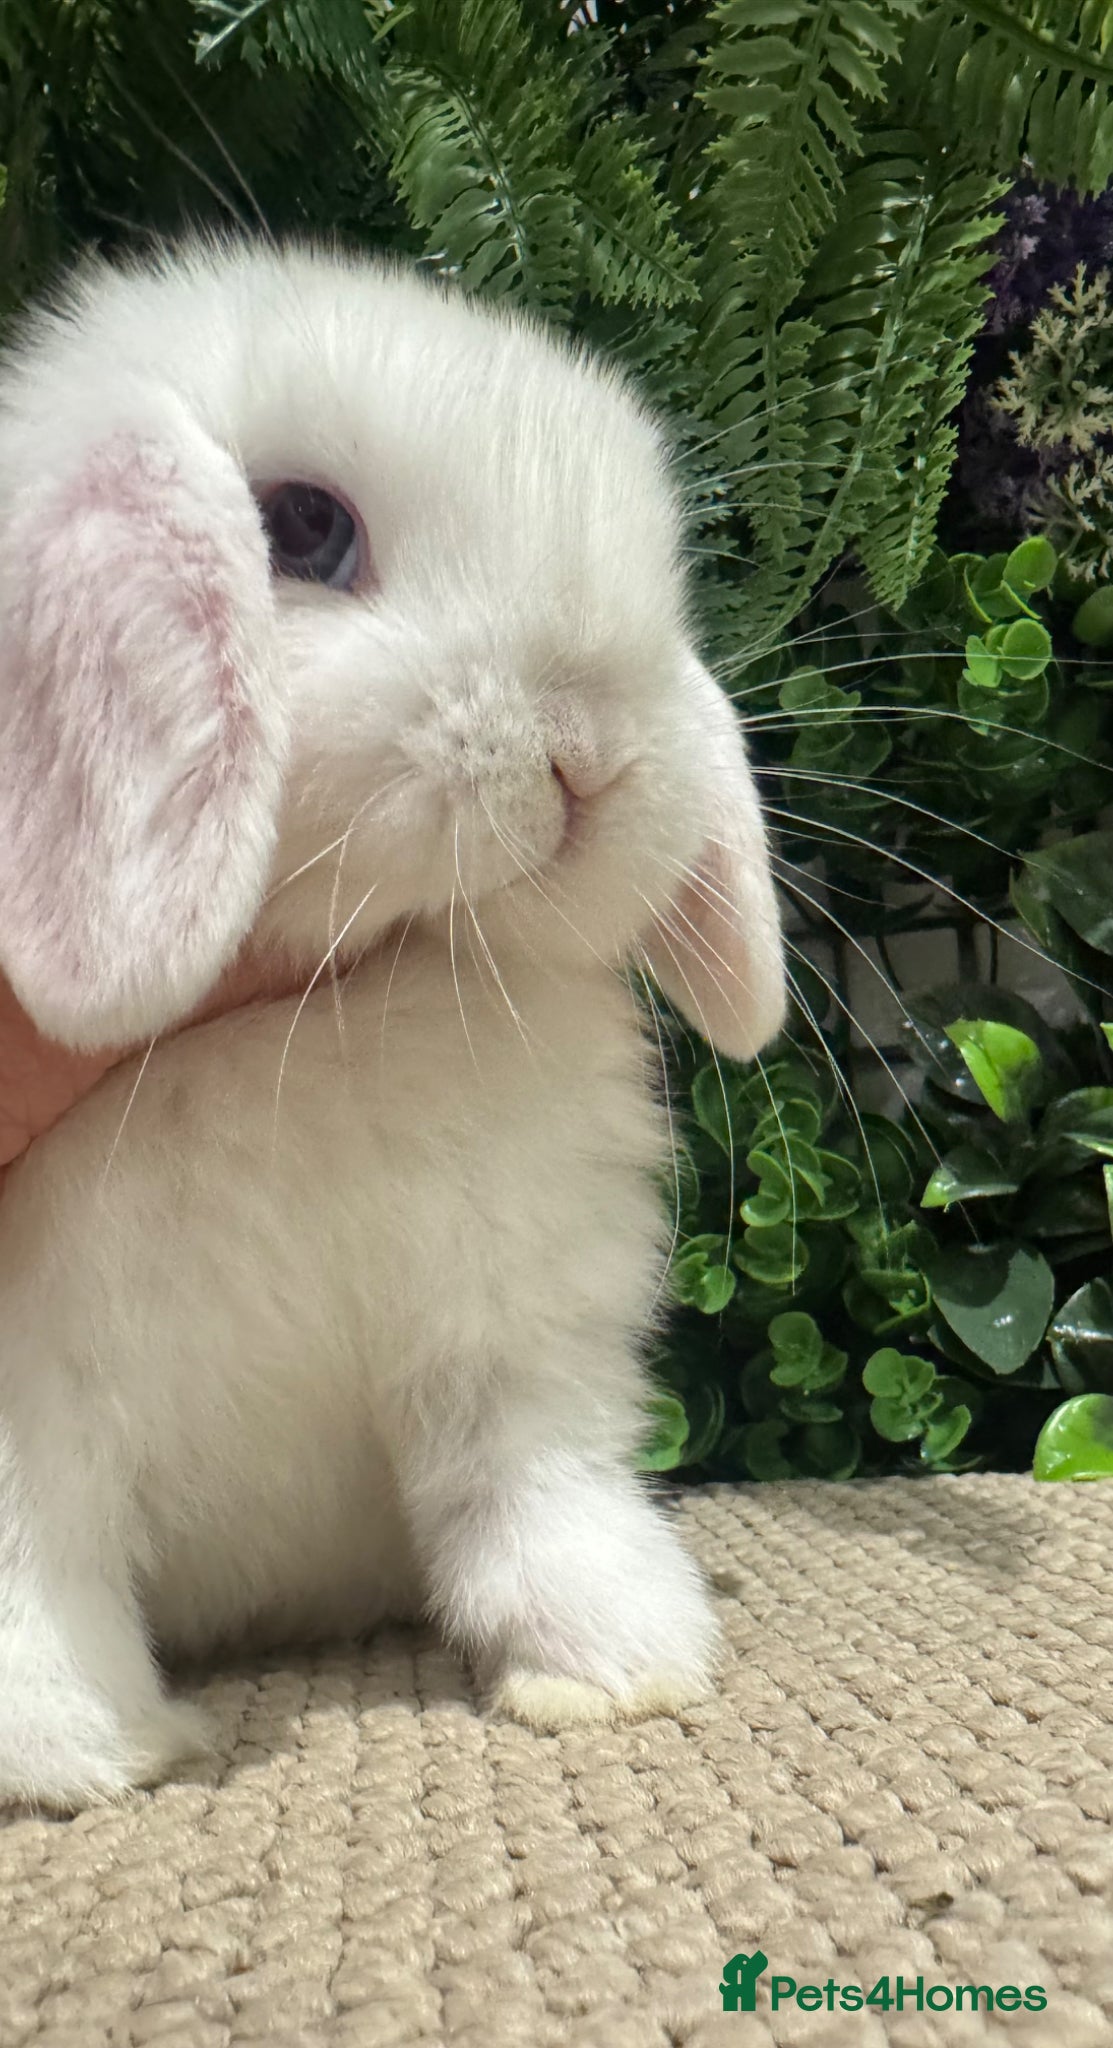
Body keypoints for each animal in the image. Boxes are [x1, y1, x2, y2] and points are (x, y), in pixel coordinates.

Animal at [0, 238, 784, 1811]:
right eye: (302, 528)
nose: (589, 756)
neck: (316, 1012)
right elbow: (28, 1549)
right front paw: (85, 1755)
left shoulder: (514, 1345)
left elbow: (538, 1494)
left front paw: (617, 1665)